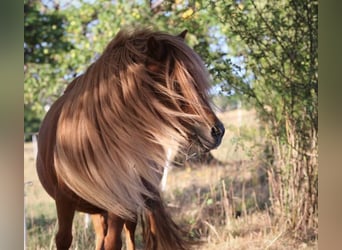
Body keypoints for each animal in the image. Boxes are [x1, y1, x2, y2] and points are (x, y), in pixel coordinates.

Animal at [36, 27, 224, 250]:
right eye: (175, 84)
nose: (217, 131)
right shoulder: (64, 202)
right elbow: (64, 239)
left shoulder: (122, 203)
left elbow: (115, 241)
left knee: (126, 232)